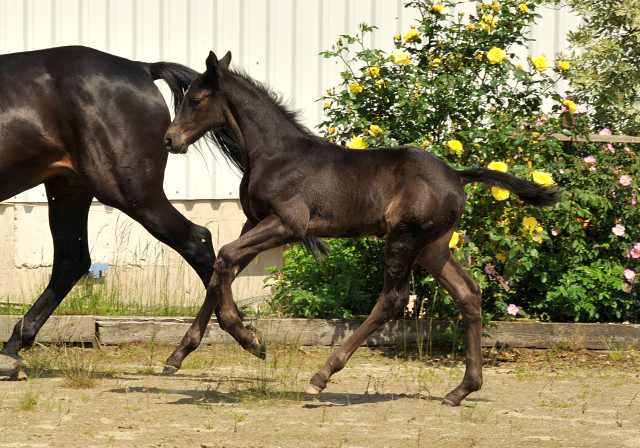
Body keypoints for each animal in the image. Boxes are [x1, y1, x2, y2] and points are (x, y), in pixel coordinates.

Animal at [0, 45, 324, 376]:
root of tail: (142, 68)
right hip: (69, 187)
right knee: (72, 261)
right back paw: (12, 348)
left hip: (128, 191)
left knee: (197, 240)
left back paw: (237, 336)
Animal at [164, 51, 560, 406]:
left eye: (195, 100)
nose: (170, 139)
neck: (275, 154)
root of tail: (457, 176)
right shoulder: (256, 220)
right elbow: (221, 270)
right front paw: (179, 356)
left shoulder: (289, 224)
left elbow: (225, 257)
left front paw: (250, 340)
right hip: (432, 247)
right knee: (468, 293)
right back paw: (461, 390)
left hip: (404, 237)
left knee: (394, 299)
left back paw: (322, 376)